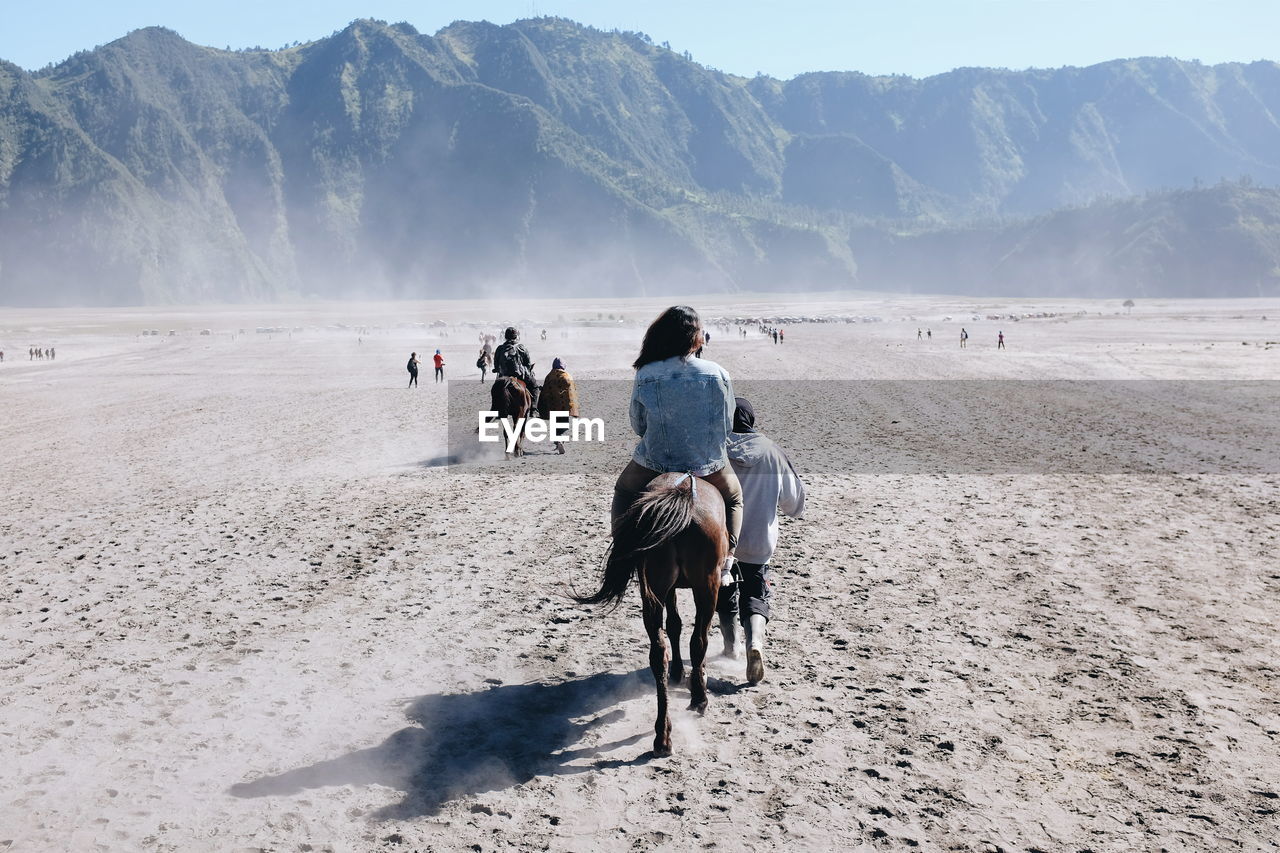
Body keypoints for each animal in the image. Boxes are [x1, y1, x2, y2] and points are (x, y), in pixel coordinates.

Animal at [576, 468, 727, 753]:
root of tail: (681, 494)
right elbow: (686, 631)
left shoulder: (667, 589)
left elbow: (674, 625)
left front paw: (678, 672)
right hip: (707, 585)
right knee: (699, 641)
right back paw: (699, 699)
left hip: (653, 587)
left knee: (658, 653)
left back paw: (663, 735)